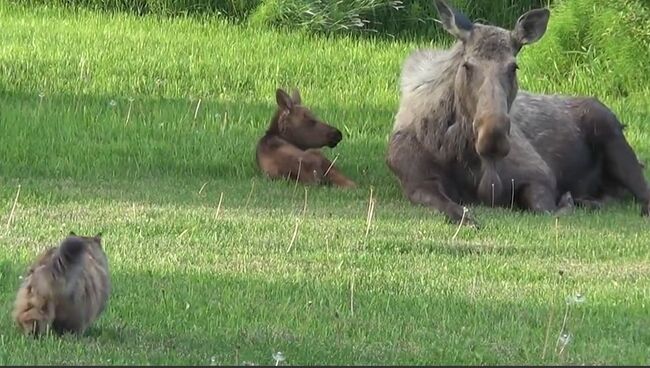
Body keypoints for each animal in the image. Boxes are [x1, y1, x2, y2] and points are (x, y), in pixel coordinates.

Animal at [388, 0, 644, 226]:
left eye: (514, 67)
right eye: (467, 66)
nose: (493, 137)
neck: (460, 153)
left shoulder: (539, 174)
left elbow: (545, 210)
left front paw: (568, 202)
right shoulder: (416, 181)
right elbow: (452, 208)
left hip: (613, 137)